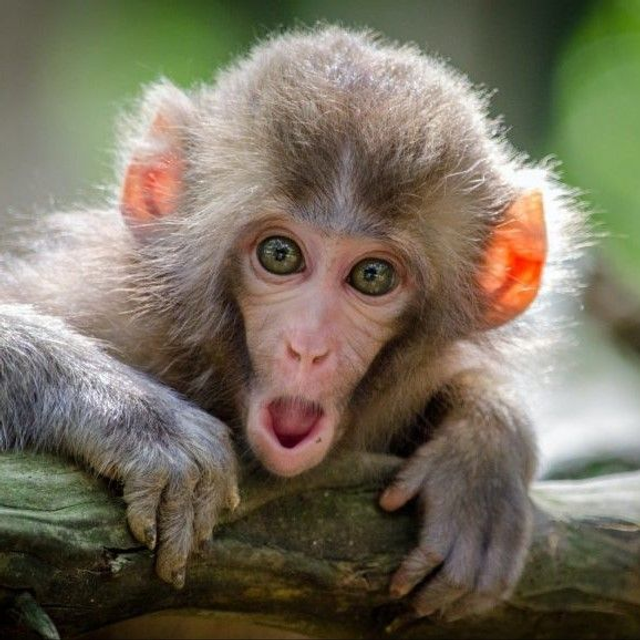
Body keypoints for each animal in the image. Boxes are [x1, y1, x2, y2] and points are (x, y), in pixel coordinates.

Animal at [0, 26, 581, 622]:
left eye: (373, 275)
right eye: (280, 255)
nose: (308, 346)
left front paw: (483, 453)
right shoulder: (98, 304)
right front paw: (132, 414)